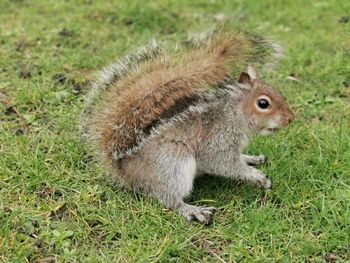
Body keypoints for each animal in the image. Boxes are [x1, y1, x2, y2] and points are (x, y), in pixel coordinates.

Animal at [79, 28, 292, 225]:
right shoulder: (217, 140)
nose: (291, 118)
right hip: (172, 163)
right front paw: (256, 177)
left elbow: (239, 158)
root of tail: (126, 170)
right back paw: (193, 210)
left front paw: (252, 158)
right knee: (168, 198)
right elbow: (224, 163)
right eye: (263, 103)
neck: (235, 116)